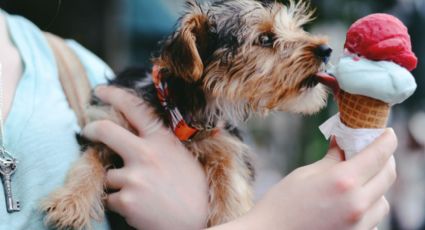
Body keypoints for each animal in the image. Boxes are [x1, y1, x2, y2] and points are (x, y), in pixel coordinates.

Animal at [40, 0, 332, 229]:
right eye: (265, 39)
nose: (326, 50)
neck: (179, 109)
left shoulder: (225, 143)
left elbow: (231, 178)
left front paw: (230, 215)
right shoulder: (108, 121)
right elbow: (89, 161)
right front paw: (70, 201)